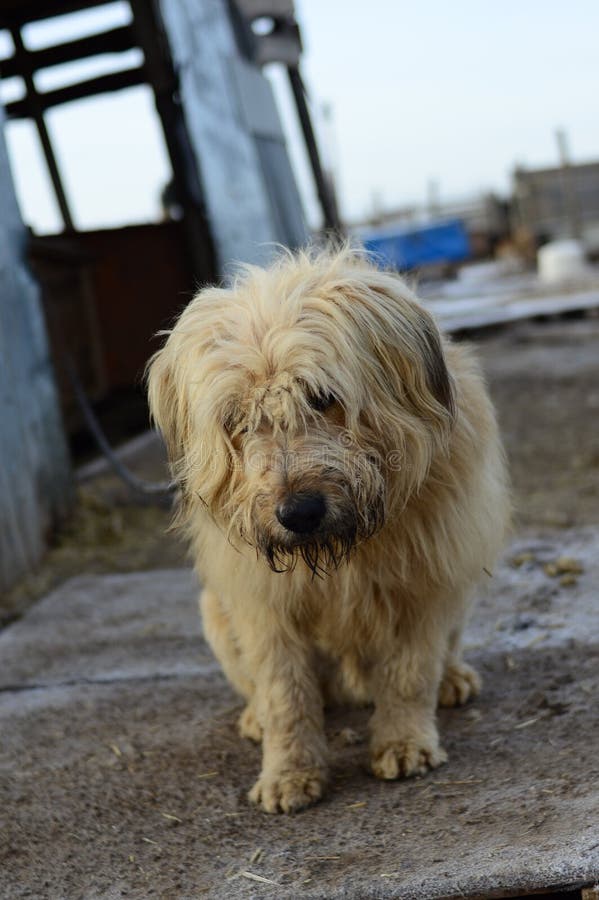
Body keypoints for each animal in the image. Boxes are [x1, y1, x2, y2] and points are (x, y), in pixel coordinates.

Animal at [146, 246, 510, 816]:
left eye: (321, 397)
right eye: (237, 418)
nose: (298, 513)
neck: (346, 548)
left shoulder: (427, 581)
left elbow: (410, 673)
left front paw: (403, 741)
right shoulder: (263, 604)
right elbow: (285, 695)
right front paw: (289, 772)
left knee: (442, 652)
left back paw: (453, 678)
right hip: (215, 613)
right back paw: (254, 717)